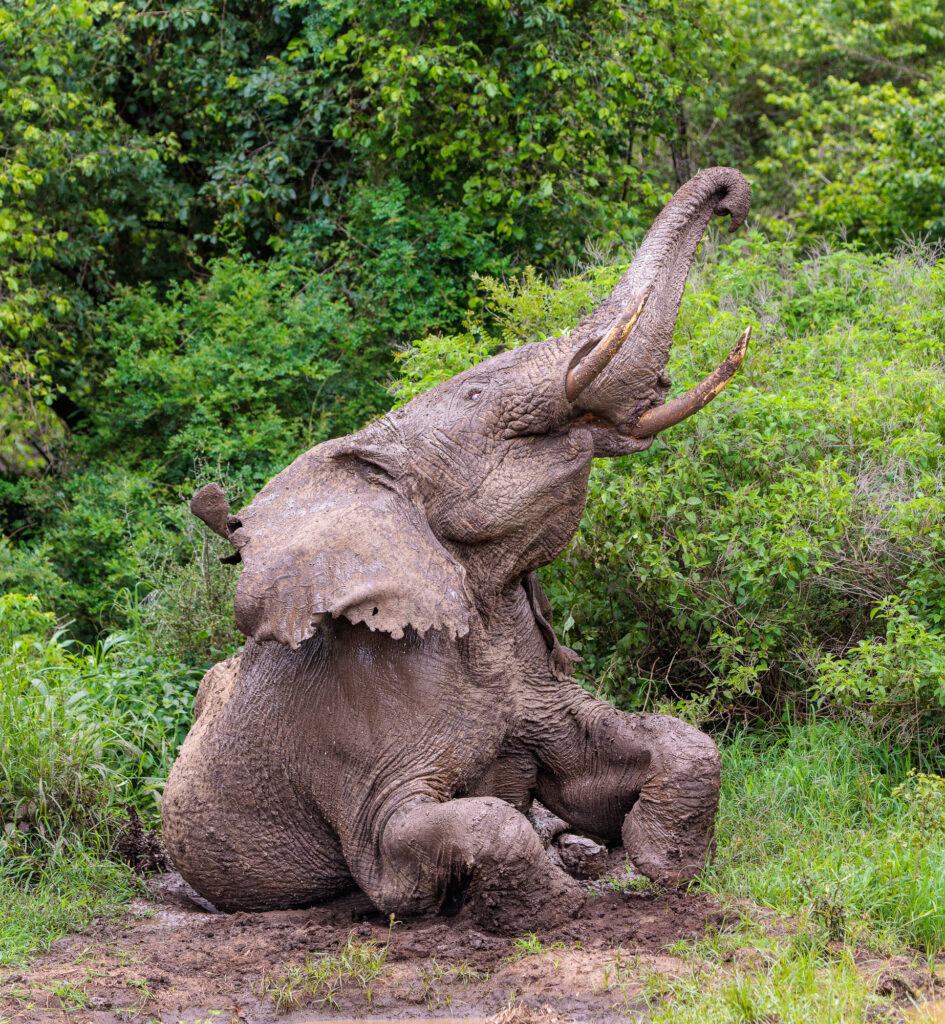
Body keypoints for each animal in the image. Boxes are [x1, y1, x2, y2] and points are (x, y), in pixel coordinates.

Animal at [162, 163, 753, 933]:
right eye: (474, 393)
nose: (733, 198)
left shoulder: (535, 681)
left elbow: (651, 754)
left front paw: (665, 866)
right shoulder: (362, 753)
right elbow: (428, 835)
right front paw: (551, 909)